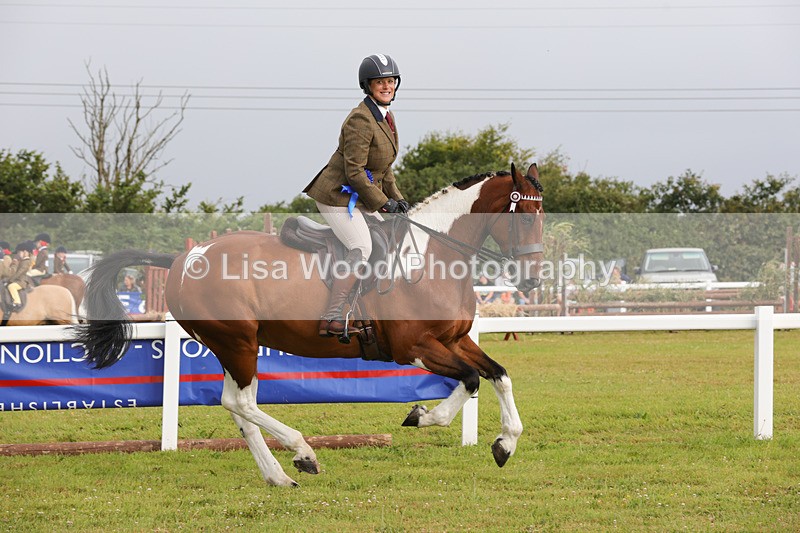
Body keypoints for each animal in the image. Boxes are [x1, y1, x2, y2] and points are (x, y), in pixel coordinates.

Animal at [75, 163, 545, 487]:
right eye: (524, 216)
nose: (532, 281)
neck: (431, 256)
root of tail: (182, 259)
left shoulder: (455, 339)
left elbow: (498, 375)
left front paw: (505, 443)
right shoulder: (414, 347)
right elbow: (469, 380)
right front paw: (421, 416)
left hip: (234, 345)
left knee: (238, 405)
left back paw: (279, 475)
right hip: (236, 342)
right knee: (240, 402)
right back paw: (302, 453)